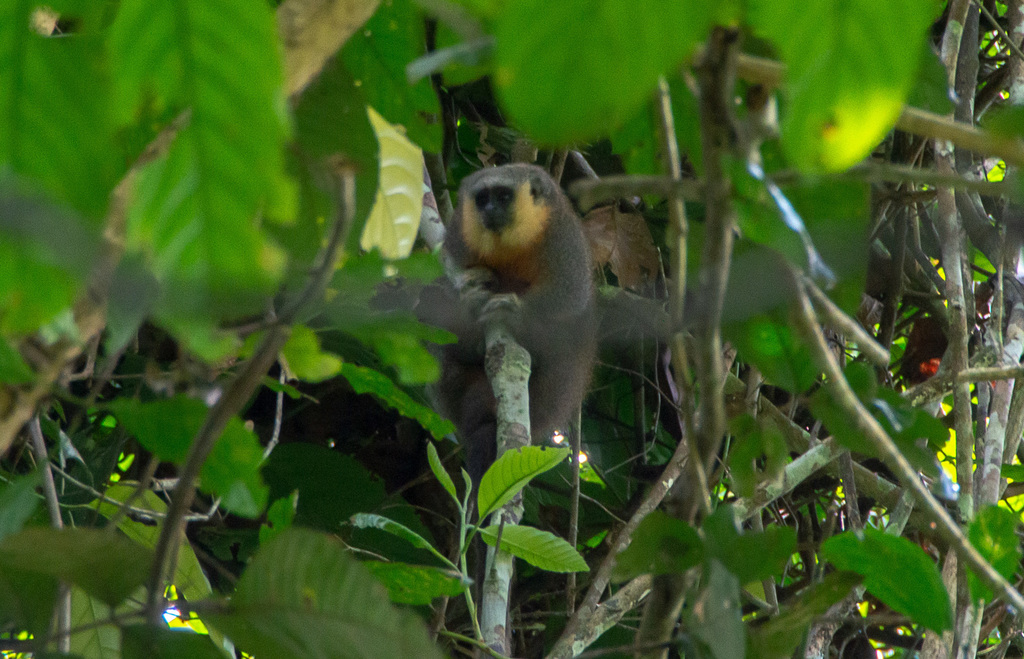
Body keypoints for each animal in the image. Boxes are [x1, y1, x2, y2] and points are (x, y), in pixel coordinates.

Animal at [418, 163, 598, 486]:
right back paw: (468, 345)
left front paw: (515, 312)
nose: (490, 209)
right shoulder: (459, 233)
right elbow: (444, 276)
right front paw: (470, 294)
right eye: (482, 199)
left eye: (503, 196)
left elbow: (572, 295)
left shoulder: (563, 236)